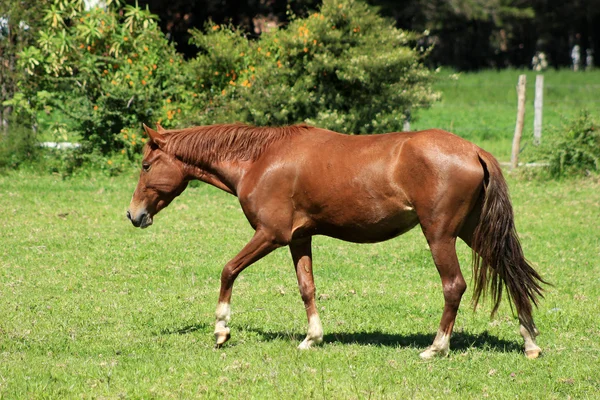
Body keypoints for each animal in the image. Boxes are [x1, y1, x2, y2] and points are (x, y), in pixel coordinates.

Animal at [127, 122, 548, 360]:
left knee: (454, 286)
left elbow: (228, 270)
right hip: (474, 232)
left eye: (146, 166)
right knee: (511, 272)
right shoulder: (298, 239)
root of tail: (474, 150)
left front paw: (221, 330)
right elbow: (307, 288)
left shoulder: (270, 235)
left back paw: (436, 347)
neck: (262, 159)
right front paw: (312, 339)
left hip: (440, 235)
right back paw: (529, 342)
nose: (133, 215)